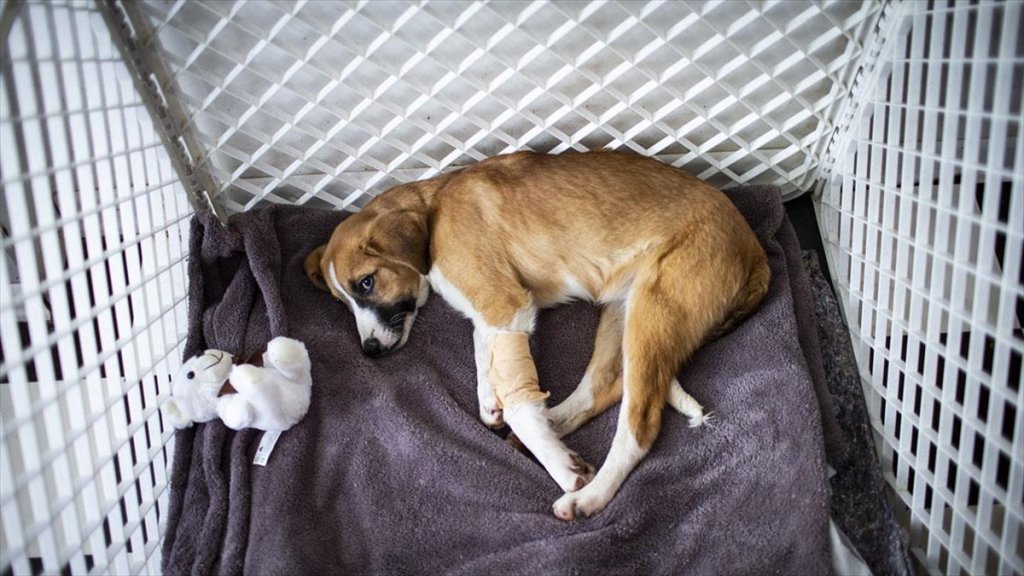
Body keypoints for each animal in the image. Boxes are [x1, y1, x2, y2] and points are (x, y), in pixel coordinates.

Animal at [303, 150, 770, 518]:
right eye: (343, 302)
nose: (369, 351)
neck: (433, 210)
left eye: (366, 283)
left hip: (653, 309)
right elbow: (486, 359)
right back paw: (553, 426)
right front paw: (492, 402)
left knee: (640, 422)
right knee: (603, 386)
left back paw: (588, 496)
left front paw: (561, 467)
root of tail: (755, 249)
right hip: (622, 312)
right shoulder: (492, 313)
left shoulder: (507, 306)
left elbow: (517, 399)